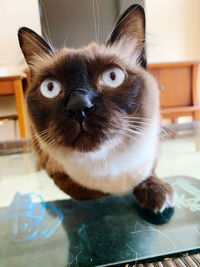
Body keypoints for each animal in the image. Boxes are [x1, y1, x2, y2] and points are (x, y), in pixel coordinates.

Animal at [18, 5, 174, 225]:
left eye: (112, 77)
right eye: (50, 88)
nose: (79, 107)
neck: (107, 162)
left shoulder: (151, 154)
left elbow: (147, 174)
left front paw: (156, 193)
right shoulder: (60, 176)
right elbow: (91, 192)